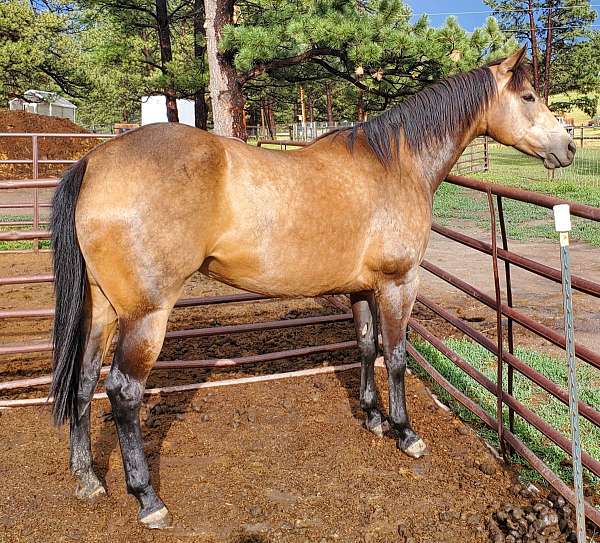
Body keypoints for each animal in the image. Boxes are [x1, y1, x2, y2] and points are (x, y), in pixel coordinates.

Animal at [50, 50, 572, 528]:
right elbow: (396, 357)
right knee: (123, 391)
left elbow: (366, 347)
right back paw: (147, 498)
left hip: (101, 310)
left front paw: (373, 418)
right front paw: (406, 433)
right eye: (529, 97)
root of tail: (95, 161)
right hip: (146, 316)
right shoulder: (399, 283)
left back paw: (87, 479)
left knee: (84, 379)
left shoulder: (361, 288)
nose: (566, 147)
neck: (396, 165)